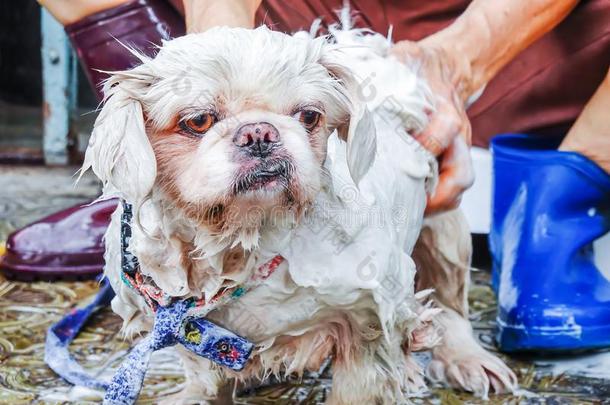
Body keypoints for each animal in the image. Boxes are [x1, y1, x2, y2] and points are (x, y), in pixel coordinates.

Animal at [83, 22, 516, 404]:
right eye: (199, 120)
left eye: (309, 116)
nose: (259, 133)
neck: (243, 243)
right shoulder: (193, 337)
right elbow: (208, 382)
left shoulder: (366, 321)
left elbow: (361, 384)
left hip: (445, 226)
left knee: (448, 299)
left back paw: (467, 359)